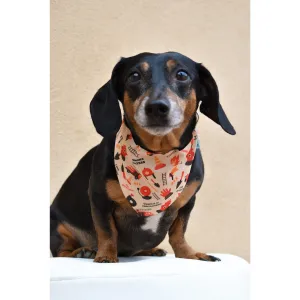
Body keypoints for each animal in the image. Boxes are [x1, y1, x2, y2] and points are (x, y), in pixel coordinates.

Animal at [50, 51, 236, 262]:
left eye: (182, 74)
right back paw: (81, 251)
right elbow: (106, 231)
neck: (158, 154)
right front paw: (106, 255)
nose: (156, 107)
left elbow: (179, 232)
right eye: (134, 76)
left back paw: (149, 250)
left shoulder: (187, 203)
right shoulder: (98, 197)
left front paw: (189, 254)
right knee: (61, 251)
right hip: (56, 226)